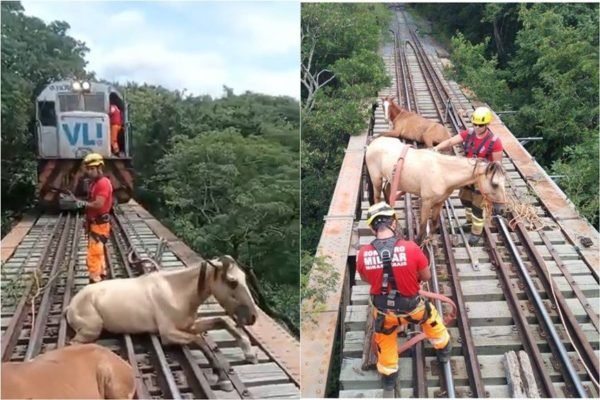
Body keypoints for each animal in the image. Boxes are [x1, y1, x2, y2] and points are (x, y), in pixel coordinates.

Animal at [65, 256, 258, 362]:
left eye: (245, 277)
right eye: (232, 282)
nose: (253, 317)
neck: (175, 291)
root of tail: (70, 305)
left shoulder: (190, 326)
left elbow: (221, 321)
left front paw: (249, 353)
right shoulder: (168, 333)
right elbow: (199, 340)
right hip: (91, 330)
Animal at [366, 136, 506, 242]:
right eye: (494, 184)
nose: (502, 210)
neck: (442, 172)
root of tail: (373, 144)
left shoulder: (440, 201)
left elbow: (434, 223)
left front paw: (430, 240)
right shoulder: (426, 202)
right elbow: (423, 227)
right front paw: (419, 243)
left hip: (392, 179)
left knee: (388, 193)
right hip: (377, 179)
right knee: (377, 198)